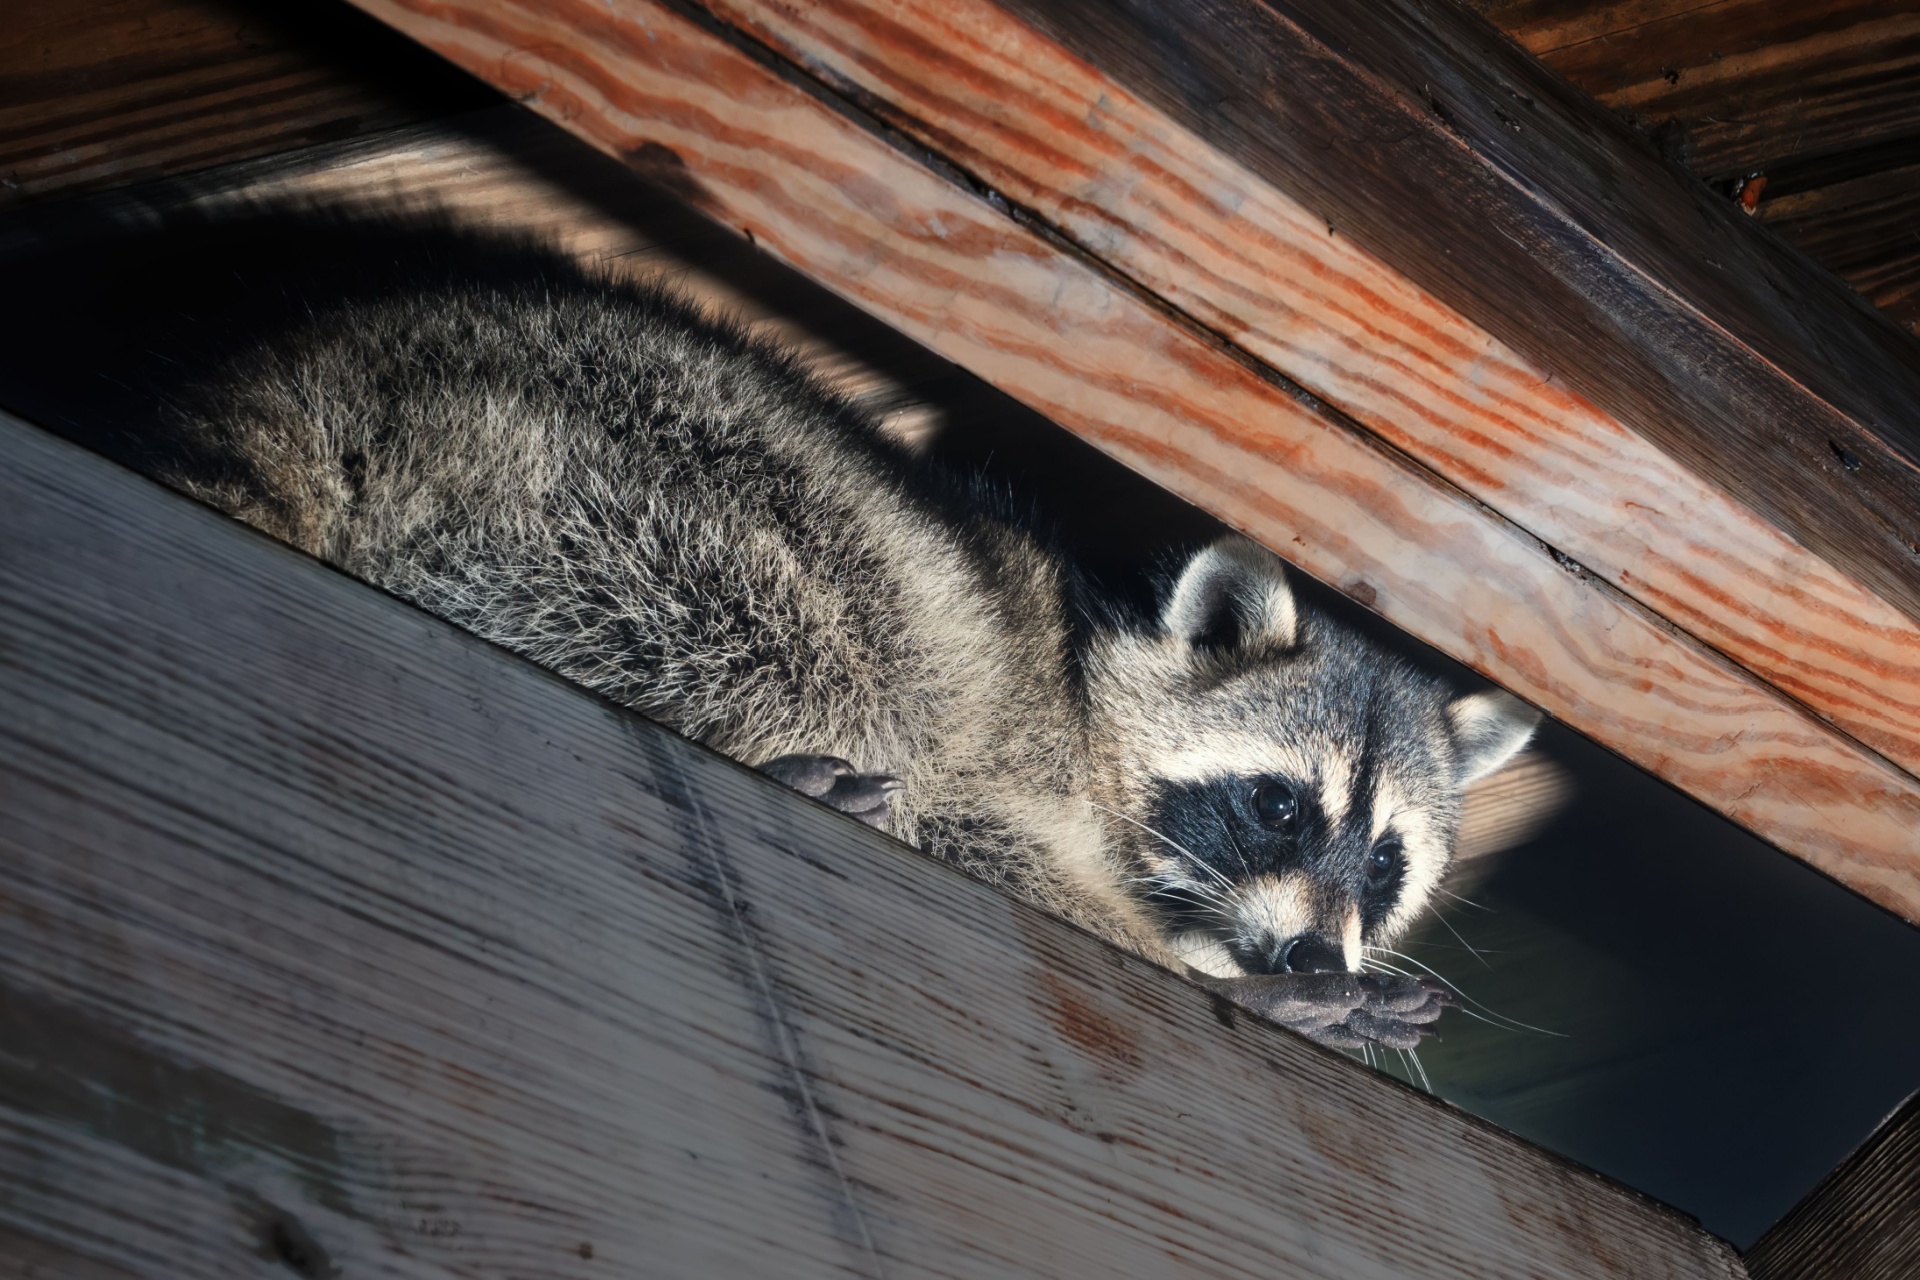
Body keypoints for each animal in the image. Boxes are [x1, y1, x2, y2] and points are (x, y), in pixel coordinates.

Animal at [0, 211, 1537, 1050]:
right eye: (1278, 807)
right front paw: (1202, 968)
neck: (1090, 678)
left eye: (1386, 859)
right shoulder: (1010, 750)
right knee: (815, 637)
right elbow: (970, 824)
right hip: (621, 481)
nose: (1315, 959)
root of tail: (313, 369)